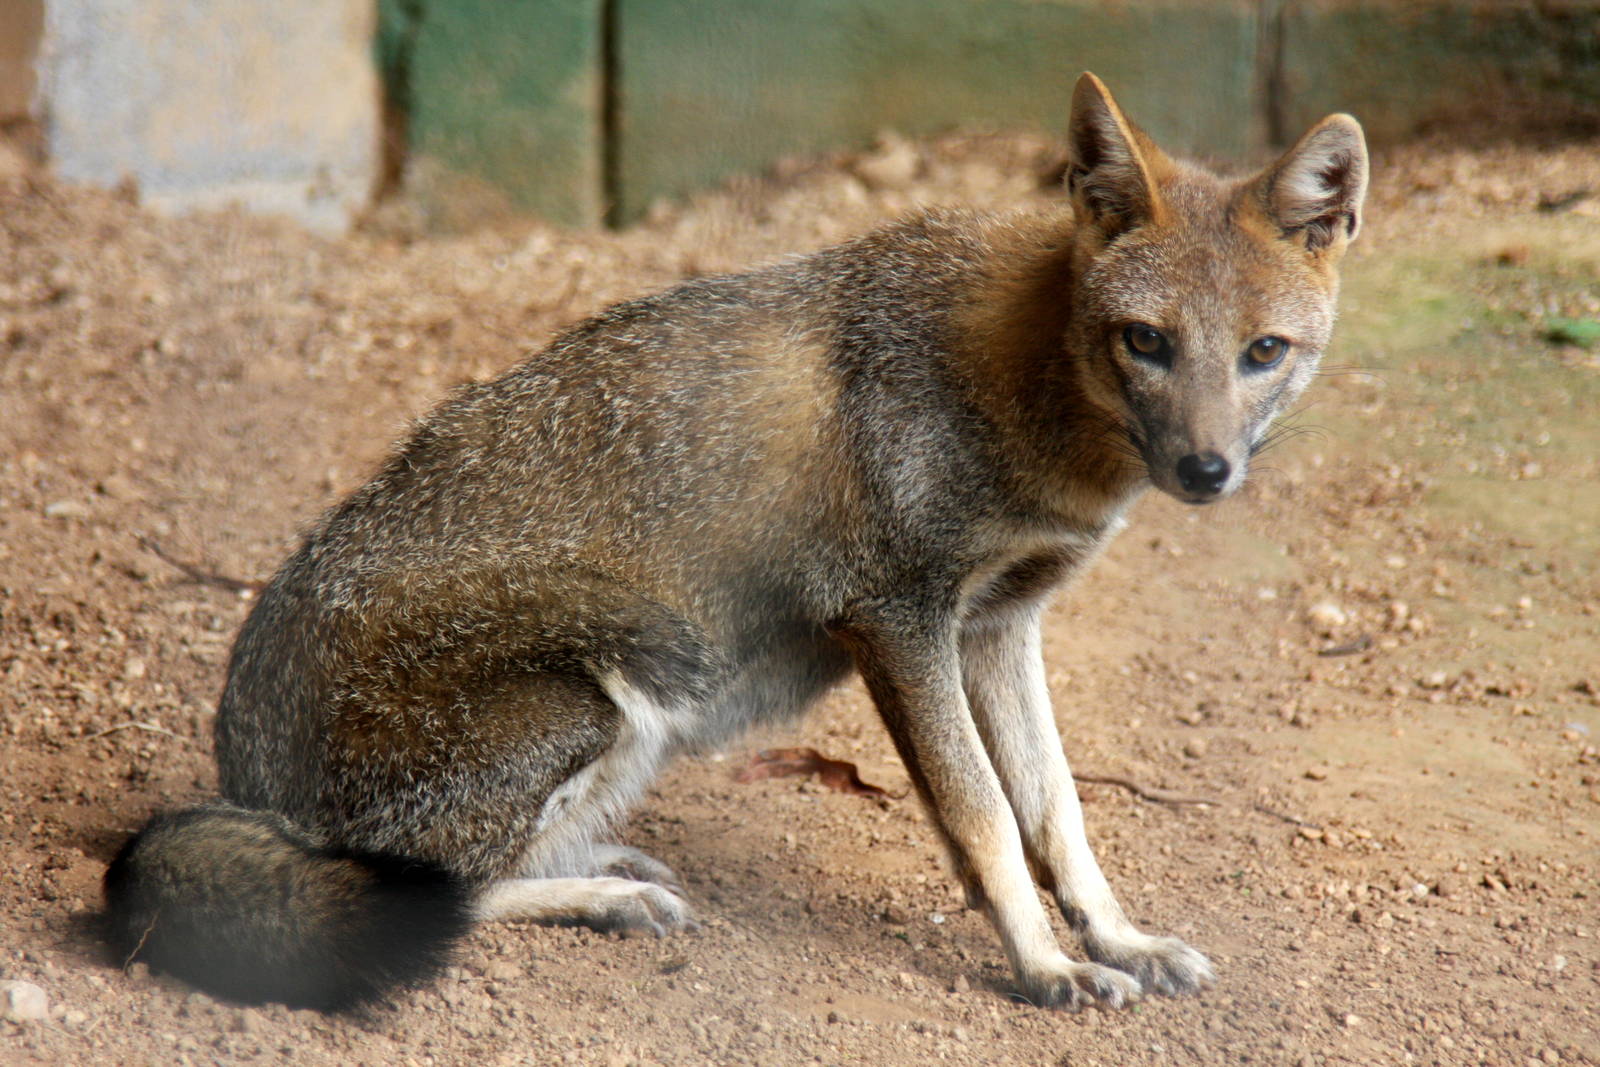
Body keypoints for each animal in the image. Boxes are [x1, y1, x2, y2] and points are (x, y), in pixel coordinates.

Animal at [103, 74, 1367, 1013]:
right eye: (1143, 341)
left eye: (1262, 352)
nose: (1206, 469)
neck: (1023, 392)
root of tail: (245, 778)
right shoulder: (898, 619)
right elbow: (985, 819)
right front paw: (1046, 964)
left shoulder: (1000, 622)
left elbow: (1057, 809)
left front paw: (1118, 937)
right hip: (622, 672)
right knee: (427, 884)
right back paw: (600, 896)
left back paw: (602, 872)